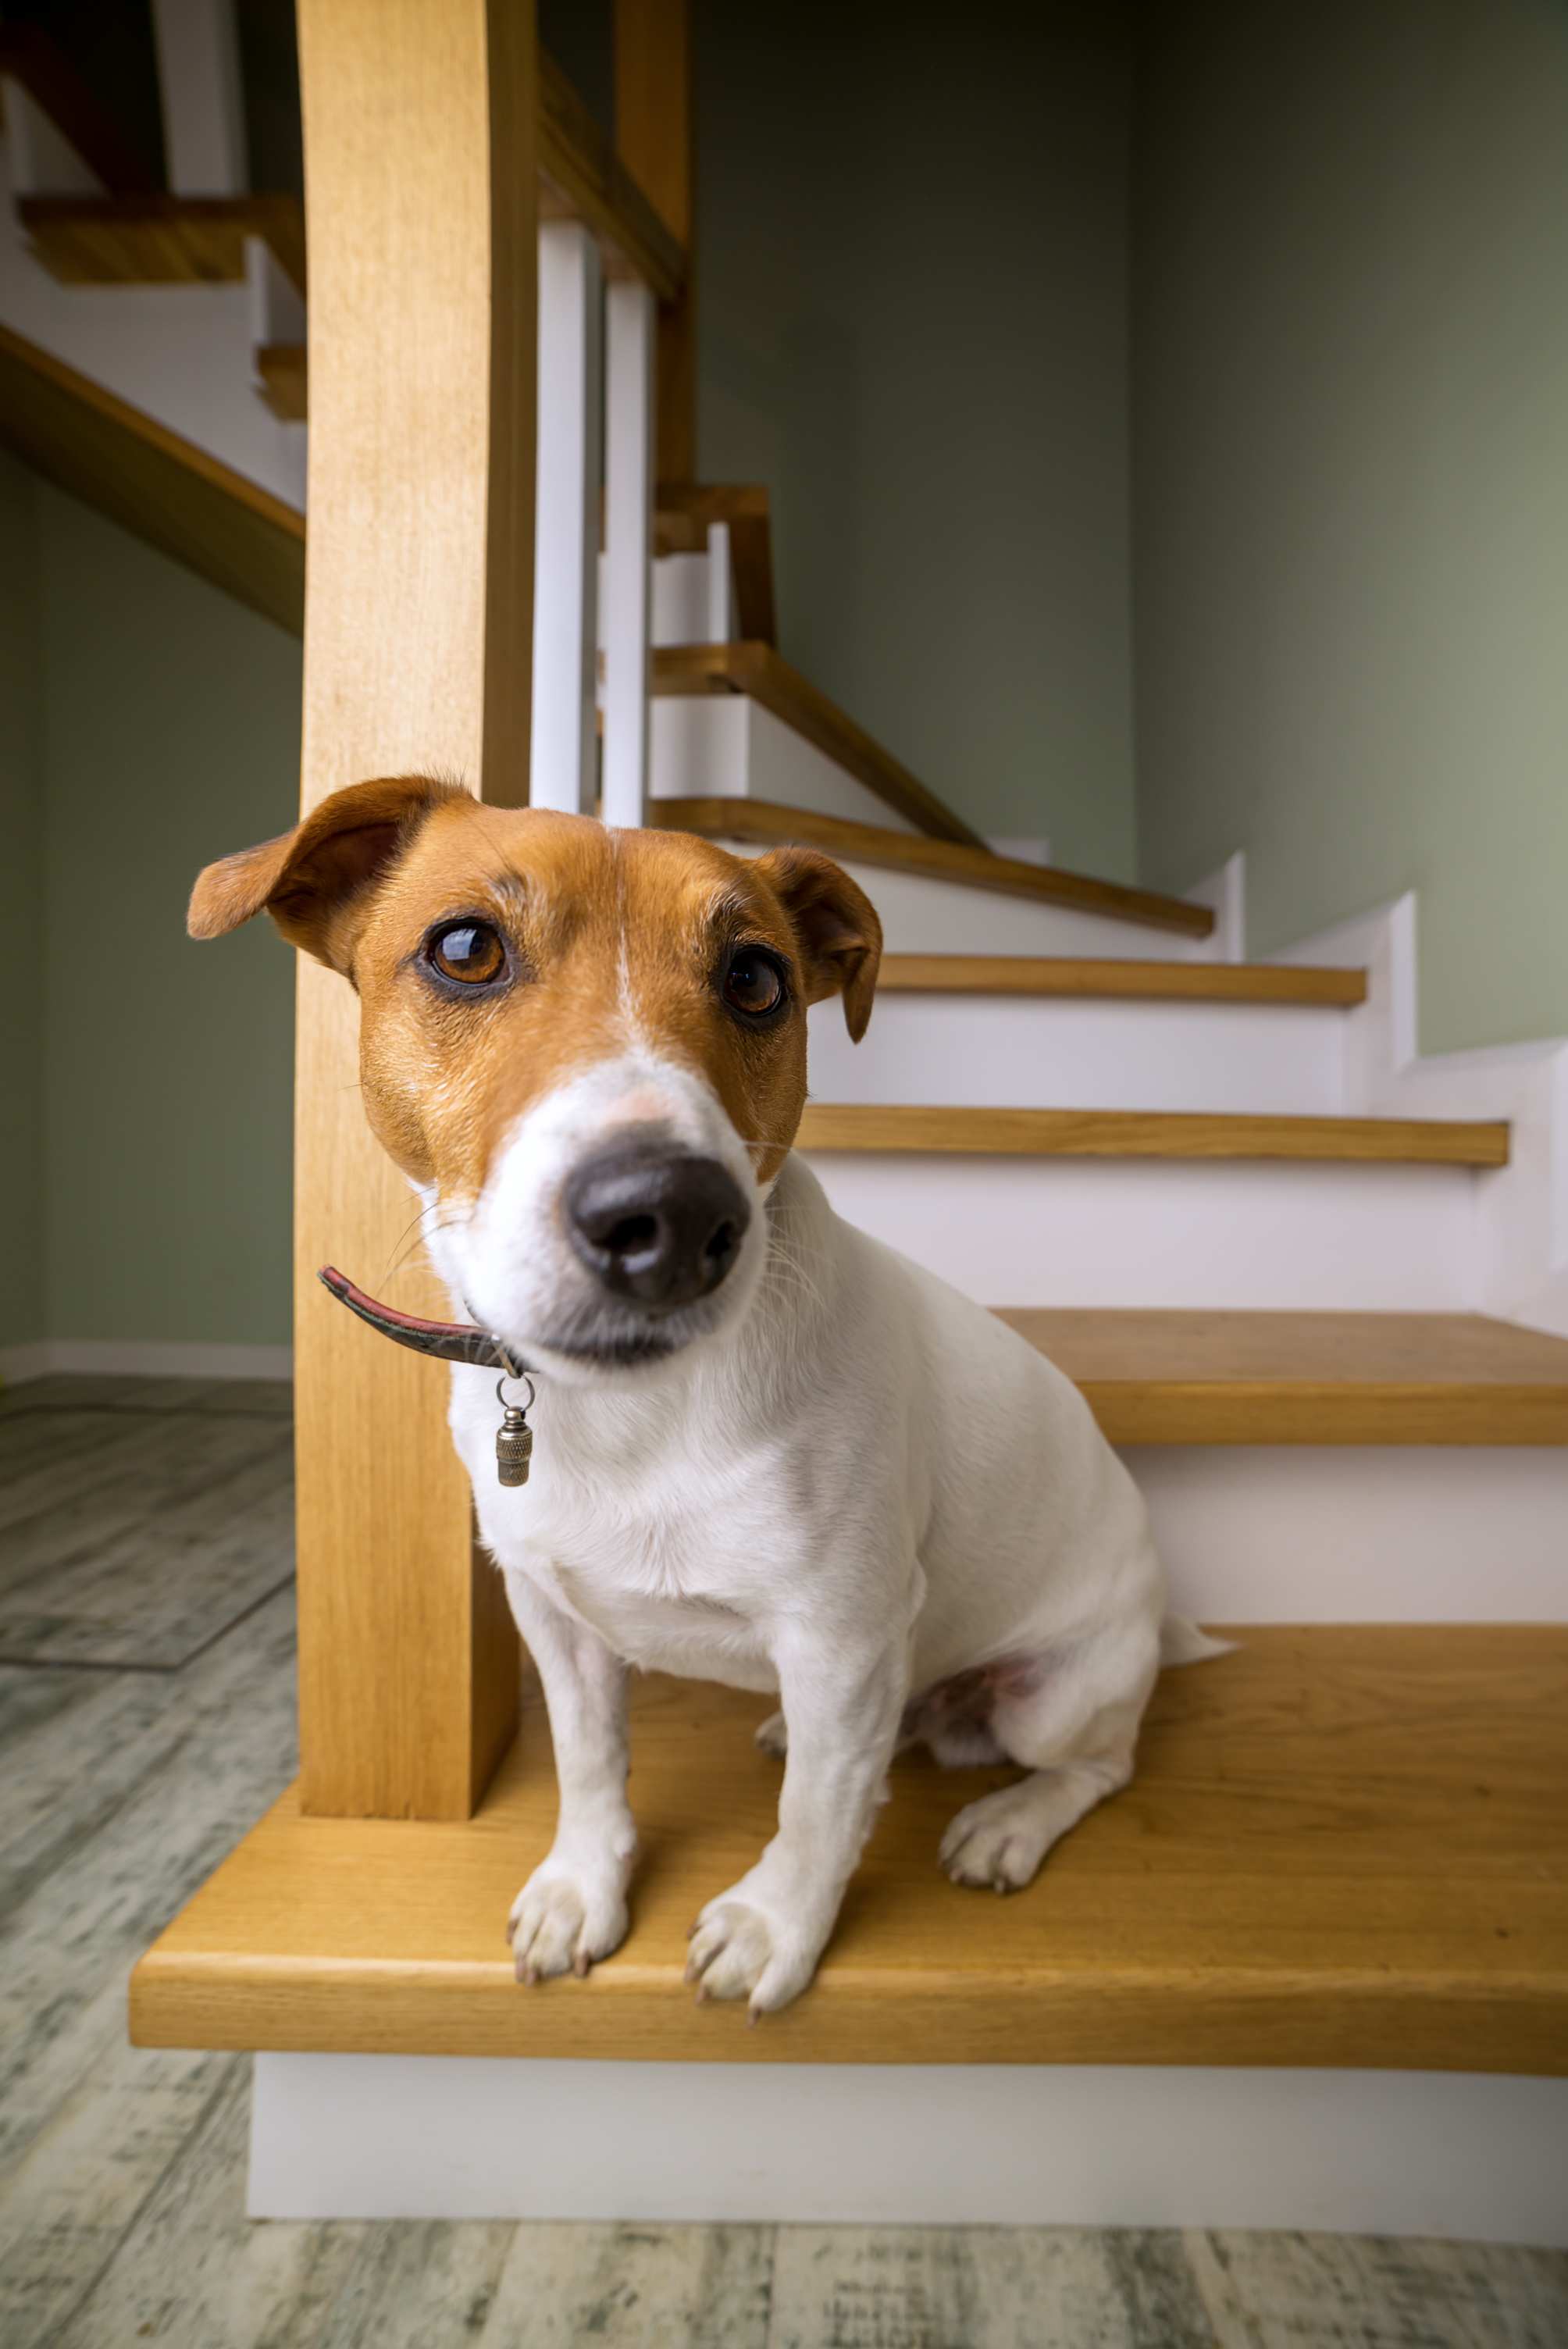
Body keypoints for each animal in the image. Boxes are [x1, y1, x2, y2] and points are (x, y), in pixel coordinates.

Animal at [186, 775, 1211, 2019]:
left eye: (757, 979)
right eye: (466, 948)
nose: (670, 1215)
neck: (625, 1413)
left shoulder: (840, 1634)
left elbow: (815, 1817)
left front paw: (774, 1928)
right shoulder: (553, 1613)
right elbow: (591, 1767)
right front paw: (582, 1887)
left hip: (1051, 1692)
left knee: (1094, 1765)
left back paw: (1008, 1822)